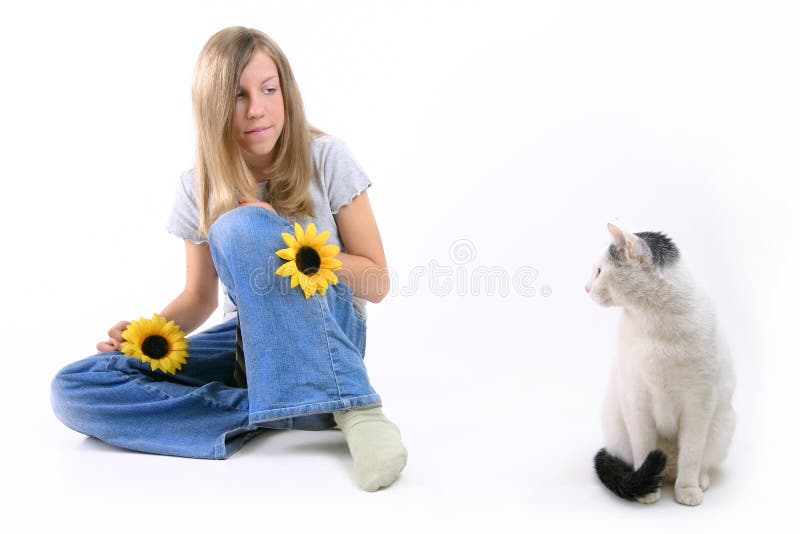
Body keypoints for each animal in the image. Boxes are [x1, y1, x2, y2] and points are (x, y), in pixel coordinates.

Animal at [584, 224, 736, 508]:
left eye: (599, 271)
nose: (585, 288)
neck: (653, 318)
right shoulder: (636, 399)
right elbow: (644, 448)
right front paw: (646, 491)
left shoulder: (699, 402)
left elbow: (691, 455)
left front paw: (687, 489)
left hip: (722, 425)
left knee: (698, 461)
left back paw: (699, 480)